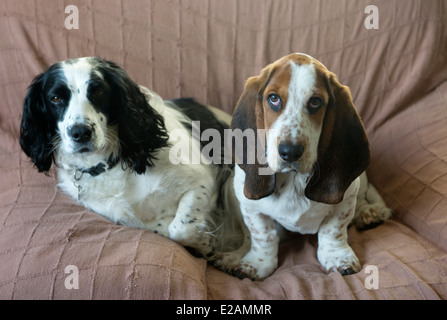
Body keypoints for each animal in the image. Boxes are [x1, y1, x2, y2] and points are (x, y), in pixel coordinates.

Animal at [214, 52, 392, 280]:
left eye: (315, 102)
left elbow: (334, 230)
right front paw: (256, 263)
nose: (289, 152)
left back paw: (368, 214)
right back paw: (232, 257)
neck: (293, 180)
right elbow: (261, 235)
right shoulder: (249, 206)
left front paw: (338, 257)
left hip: (359, 182)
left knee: (363, 197)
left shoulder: (345, 201)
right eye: (273, 98)